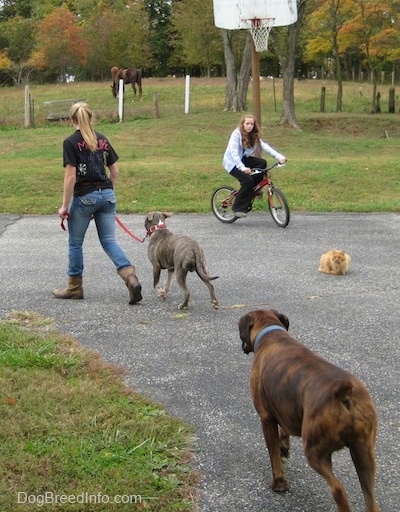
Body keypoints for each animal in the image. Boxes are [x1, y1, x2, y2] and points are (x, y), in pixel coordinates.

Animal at [239, 308, 380, 512]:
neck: (271, 333)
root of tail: (344, 394)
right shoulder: (284, 407)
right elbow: (283, 432)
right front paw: (284, 447)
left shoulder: (266, 417)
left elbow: (273, 453)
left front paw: (279, 483)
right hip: (363, 454)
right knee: (370, 497)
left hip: (315, 452)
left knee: (338, 488)